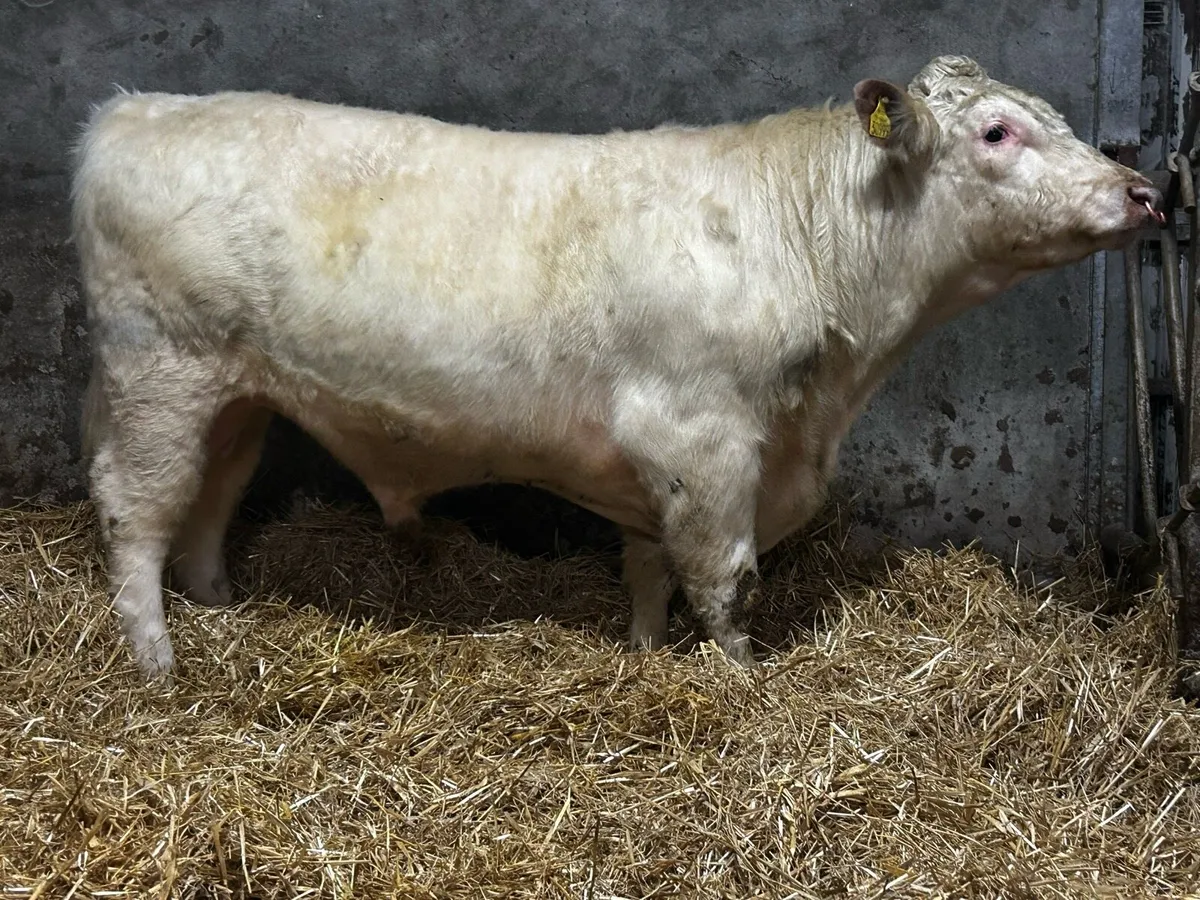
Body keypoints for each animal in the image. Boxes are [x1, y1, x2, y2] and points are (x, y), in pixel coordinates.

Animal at [72, 55, 1163, 680]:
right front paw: (743, 684)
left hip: (238, 393)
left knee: (212, 497)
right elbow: (724, 581)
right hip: (158, 373)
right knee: (136, 512)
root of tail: (133, 112)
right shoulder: (702, 441)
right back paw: (159, 663)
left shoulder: (669, 463)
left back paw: (217, 605)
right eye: (997, 132)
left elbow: (647, 568)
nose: (1144, 189)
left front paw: (644, 655)